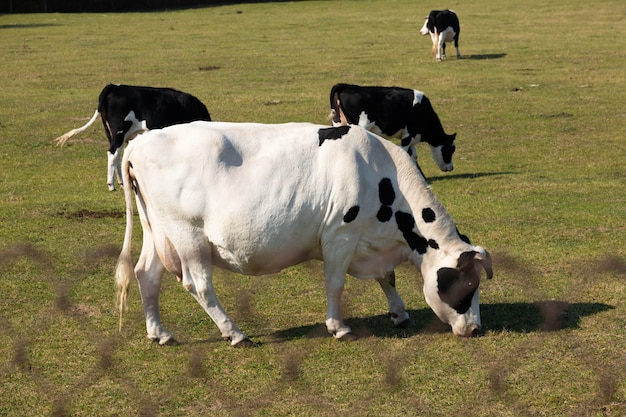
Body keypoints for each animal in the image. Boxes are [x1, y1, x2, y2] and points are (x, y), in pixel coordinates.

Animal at [54, 83, 210, 191]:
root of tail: (114, 87)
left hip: (111, 132)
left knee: (116, 155)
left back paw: (122, 183)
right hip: (119, 131)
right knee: (112, 153)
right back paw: (111, 185)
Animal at [114, 121, 490, 348]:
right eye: (469, 284)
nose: (475, 329)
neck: (383, 174)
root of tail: (142, 142)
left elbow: (387, 277)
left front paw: (399, 313)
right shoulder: (341, 234)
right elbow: (335, 284)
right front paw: (338, 327)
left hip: (158, 231)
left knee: (146, 275)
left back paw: (159, 333)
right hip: (188, 236)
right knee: (199, 285)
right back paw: (234, 333)